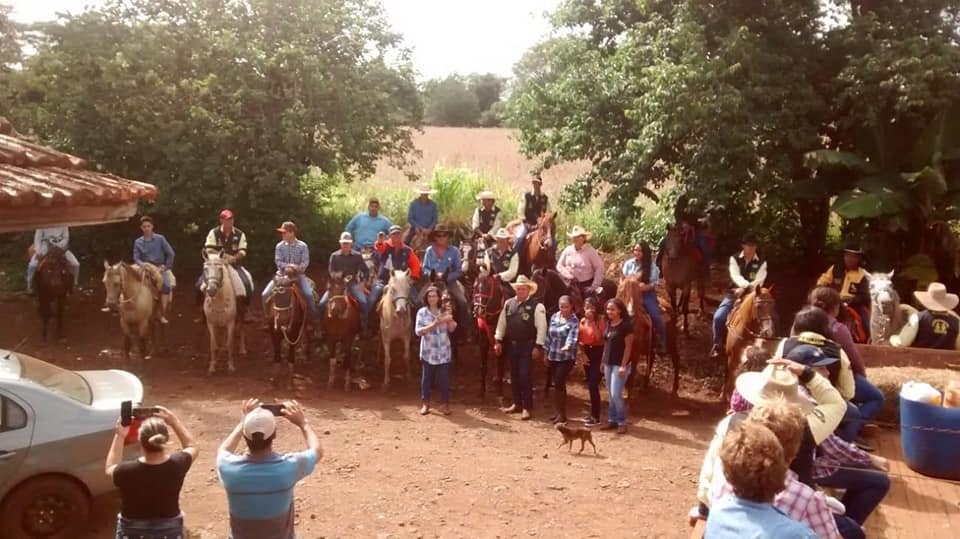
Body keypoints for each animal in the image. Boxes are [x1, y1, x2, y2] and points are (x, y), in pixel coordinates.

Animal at [472, 262, 508, 402]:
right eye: (475, 287)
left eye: (488, 288)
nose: (478, 311)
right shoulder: (483, 340)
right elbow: (483, 365)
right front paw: (482, 391)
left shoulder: (503, 343)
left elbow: (500, 365)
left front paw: (500, 393)